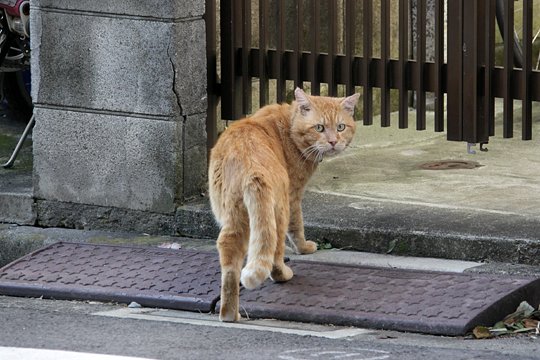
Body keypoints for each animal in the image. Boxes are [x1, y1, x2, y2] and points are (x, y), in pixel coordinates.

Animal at [208, 87, 358, 320]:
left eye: (341, 127)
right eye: (320, 128)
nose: (334, 141)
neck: (289, 127)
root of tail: (252, 168)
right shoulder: (293, 196)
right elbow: (298, 227)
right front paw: (304, 248)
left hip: (233, 218)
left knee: (229, 254)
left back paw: (229, 314)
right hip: (278, 212)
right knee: (274, 253)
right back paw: (283, 275)